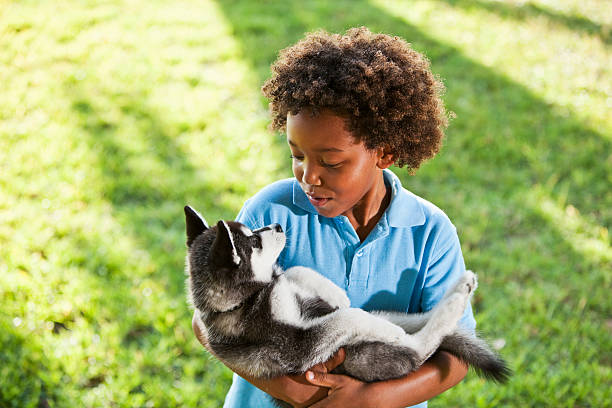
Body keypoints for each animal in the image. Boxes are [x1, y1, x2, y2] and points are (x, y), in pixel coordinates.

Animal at [184, 207, 510, 396]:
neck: (250, 298)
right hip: (363, 356)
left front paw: (333, 291)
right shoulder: (297, 346)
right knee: (418, 342)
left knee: (405, 316)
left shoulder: (288, 287)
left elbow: (294, 271)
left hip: (380, 321)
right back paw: (445, 306)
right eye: (254, 242)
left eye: (253, 232)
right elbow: (344, 318)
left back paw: (458, 288)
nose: (276, 226)